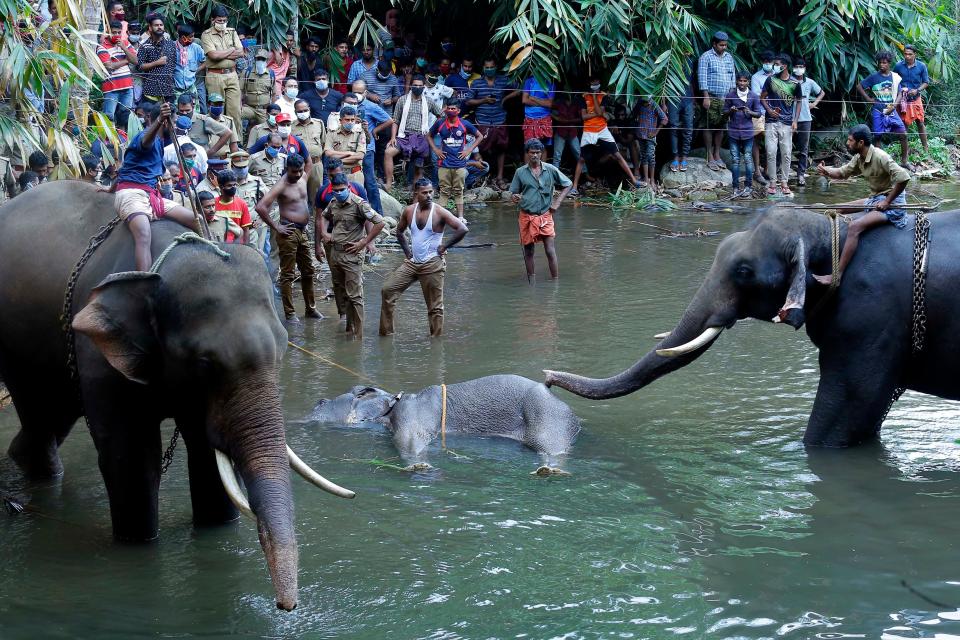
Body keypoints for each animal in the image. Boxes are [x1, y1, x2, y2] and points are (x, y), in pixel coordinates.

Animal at [0, 181, 352, 608]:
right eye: (204, 363)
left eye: (284, 349)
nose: (287, 606)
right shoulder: (98, 353)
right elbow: (132, 459)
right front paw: (137, 545)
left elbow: (206, 455)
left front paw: (216, 531)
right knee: (39, 412)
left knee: (52, 416)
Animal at [310, 372, 576, 472]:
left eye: (322, 403)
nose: (318, 400)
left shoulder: (411, 415)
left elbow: (410, 440)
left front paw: (420, 467)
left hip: (547, 418)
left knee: (550, 448)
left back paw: (549, 470)